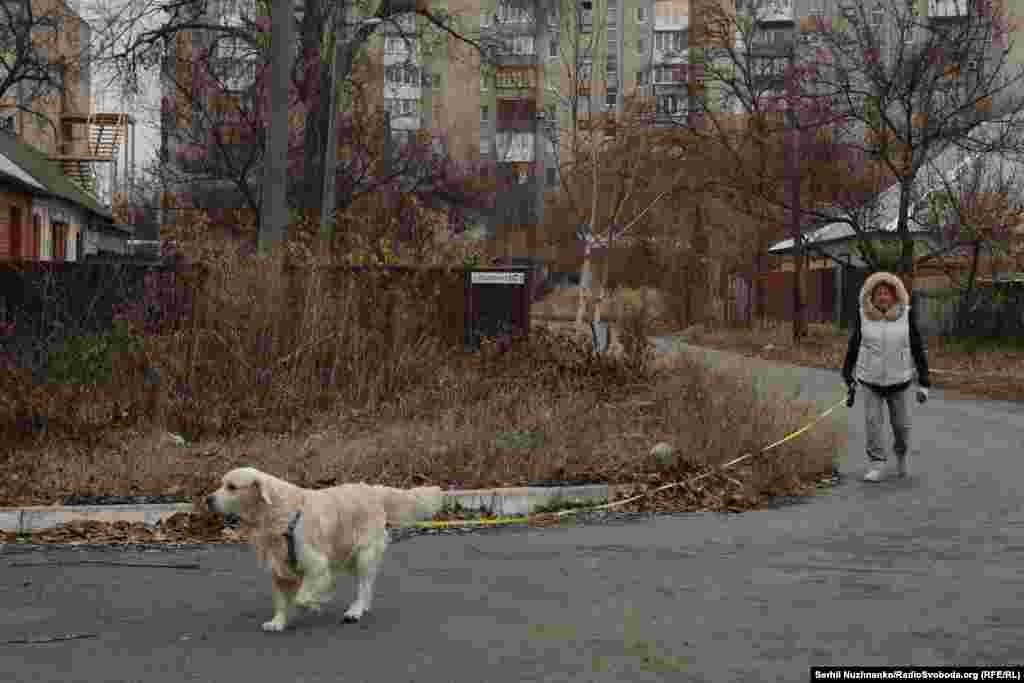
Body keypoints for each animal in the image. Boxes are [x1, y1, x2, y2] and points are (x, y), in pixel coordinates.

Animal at [207, 466, 444, 634]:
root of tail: (372, 489)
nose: (208, 499)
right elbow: (282, 601)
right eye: (221, 484)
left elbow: (302, 597)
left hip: (364, 553)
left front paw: (314, 603)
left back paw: (355, 610)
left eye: (232, 487)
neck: (276, 514)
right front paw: (278, 622)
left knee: (364, 585)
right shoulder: (278, 569)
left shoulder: (316, 562)